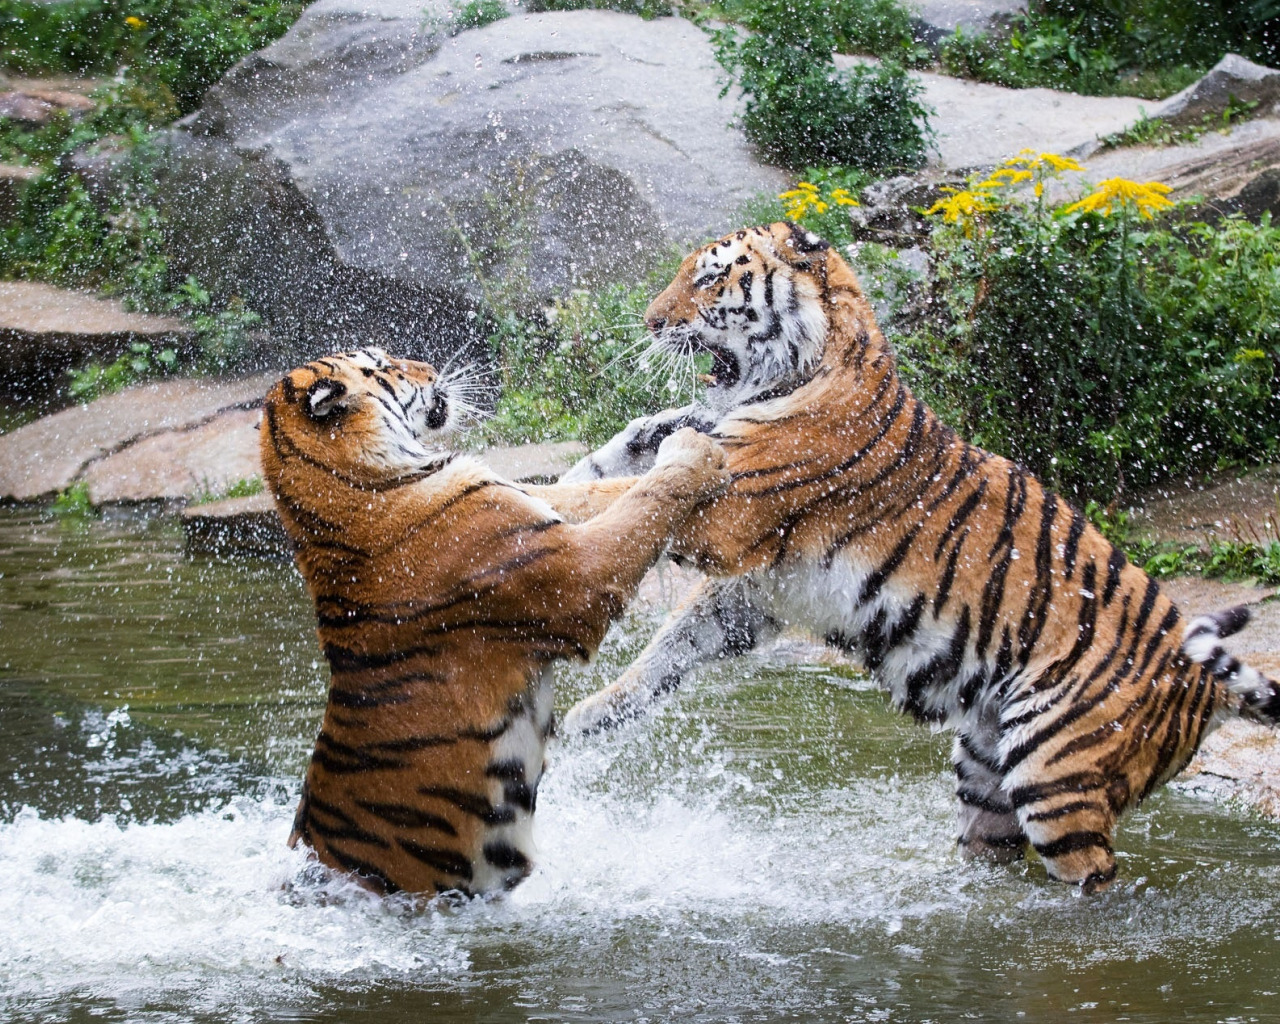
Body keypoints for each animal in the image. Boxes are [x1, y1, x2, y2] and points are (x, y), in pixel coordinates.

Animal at [257, 345, 732, 896]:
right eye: (389, 366)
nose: (430, 368)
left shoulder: (535, 506)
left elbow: (602, 484)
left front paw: (672, 429)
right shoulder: (578, 575)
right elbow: (646, 497)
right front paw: (695, 448)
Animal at [558, 221, 1280, 885]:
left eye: (708, 279)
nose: (650, 323)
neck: (809, 367)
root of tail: (1205, 683)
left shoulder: (730, 509)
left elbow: (617, 496)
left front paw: (544, 502)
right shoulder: (752, 587)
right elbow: (667, 633)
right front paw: (587, 717)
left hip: (1056, 776)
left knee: (1096, 876)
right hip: (987, 766)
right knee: (994, 850)